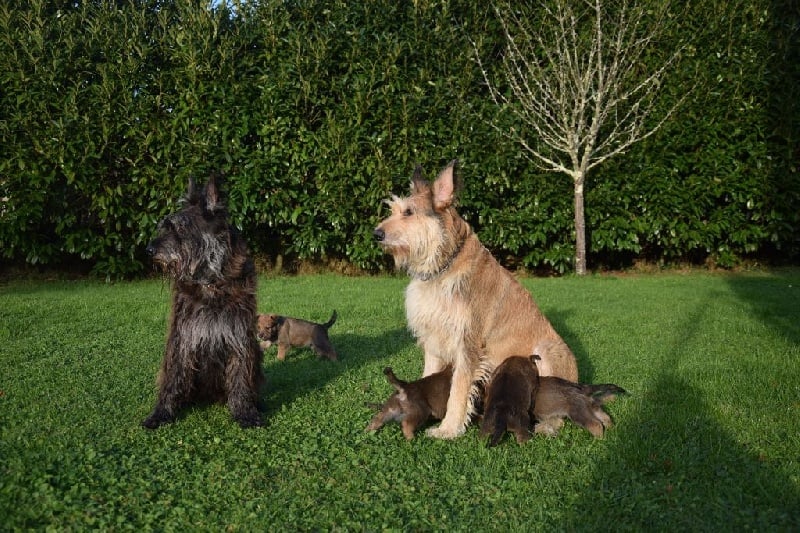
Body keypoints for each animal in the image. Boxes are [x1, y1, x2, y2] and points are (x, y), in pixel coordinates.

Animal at [142, 175, 264, 428]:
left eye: (180, 227)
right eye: (164, 226)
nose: (148, 250)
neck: (211, 281)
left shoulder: (239, 338)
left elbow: (240, 379)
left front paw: (246, 412)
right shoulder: (182, 338)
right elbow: (172, 380)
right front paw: (160, 414)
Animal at [372, 160, 580, 438]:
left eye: (408, 212)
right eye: (394, 210)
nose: (376, 234)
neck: (442, 267)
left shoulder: (467, 344)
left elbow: (458, 391)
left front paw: (448, 429)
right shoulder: (433, 338)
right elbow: (429, 374)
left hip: (546, 351)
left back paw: (546, 425)